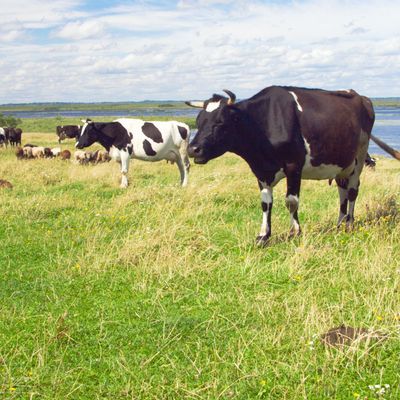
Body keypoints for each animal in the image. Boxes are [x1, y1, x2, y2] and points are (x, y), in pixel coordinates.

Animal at [186, 86, 398, 245]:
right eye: (198, 121)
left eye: (220, 122)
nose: (193, 149)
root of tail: (360, 97)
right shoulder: (261, 170)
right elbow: (266, 203)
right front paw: (263, 235)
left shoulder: (294, 165)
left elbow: (291, 201)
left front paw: (295, 231)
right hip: (342, 163)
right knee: (342, 191)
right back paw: (339, 224)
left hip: (360, 155)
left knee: (353, 191)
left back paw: (349, 224)